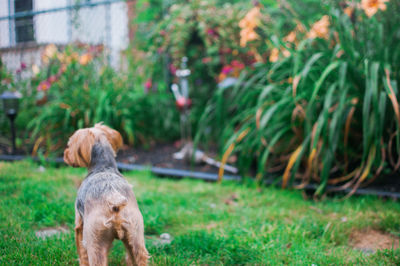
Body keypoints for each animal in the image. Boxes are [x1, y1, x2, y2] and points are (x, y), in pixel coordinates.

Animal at [64, 123, 148, 264]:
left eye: (70, 144)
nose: (65, 154)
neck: (103, 167)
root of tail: (114, 199)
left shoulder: (79, 225)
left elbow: (82, 253)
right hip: (136, 239)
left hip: (95, 241)